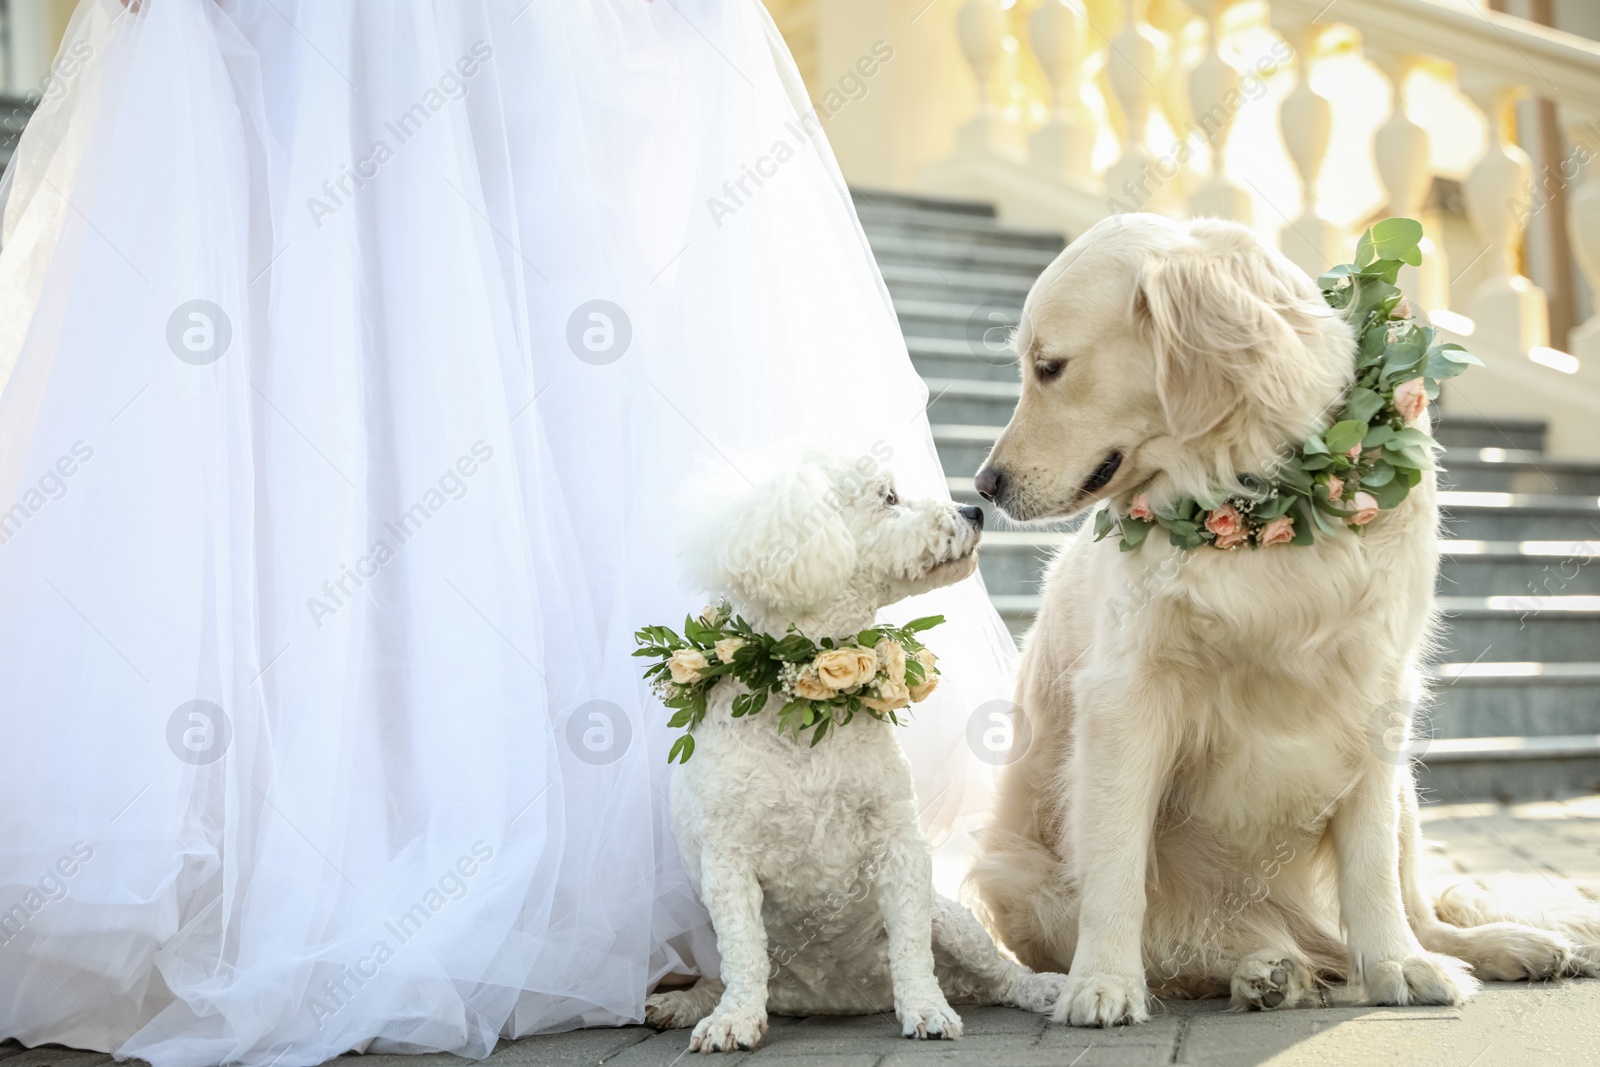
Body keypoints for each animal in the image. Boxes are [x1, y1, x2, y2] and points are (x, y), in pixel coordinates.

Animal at [636, 451, 1062, 1049]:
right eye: (888, 498)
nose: (973, 511)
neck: (803, 704)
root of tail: (837, 999)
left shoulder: (900, 843)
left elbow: (911, 946)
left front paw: (925, 1009)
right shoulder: (728, 861)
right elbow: (743, 952)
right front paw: (733, 1020)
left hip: (951, 920)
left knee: (998, 976)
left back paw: (1040, 987)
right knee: (722, 973)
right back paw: (683, 1003)